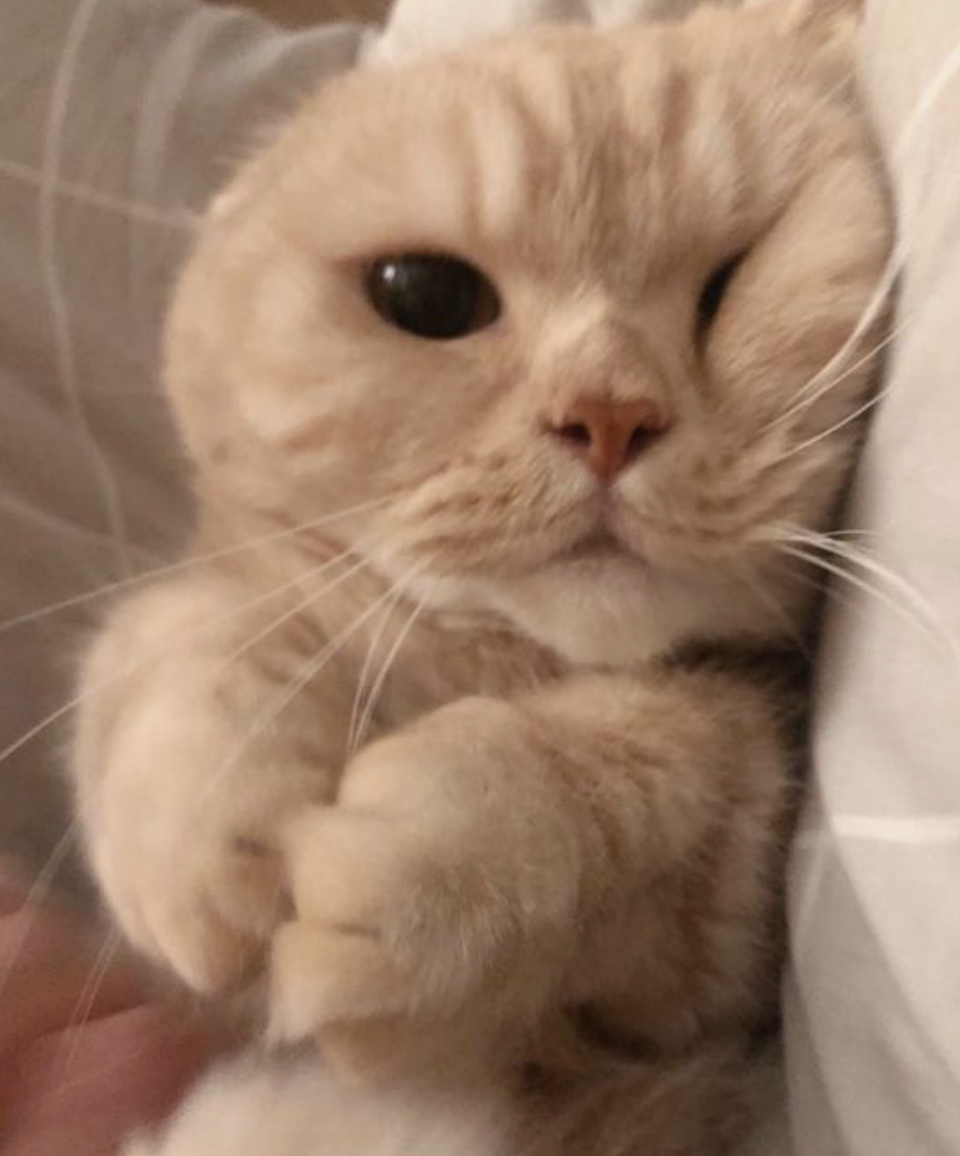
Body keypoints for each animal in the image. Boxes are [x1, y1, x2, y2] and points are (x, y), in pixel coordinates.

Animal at [72, 0, 892, 1152]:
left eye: (728, 285)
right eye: (427, 295)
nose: (610, 415)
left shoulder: (730, 936)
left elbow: (665, 761)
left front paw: (453, 862)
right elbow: (184, 629)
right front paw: (202, 803)